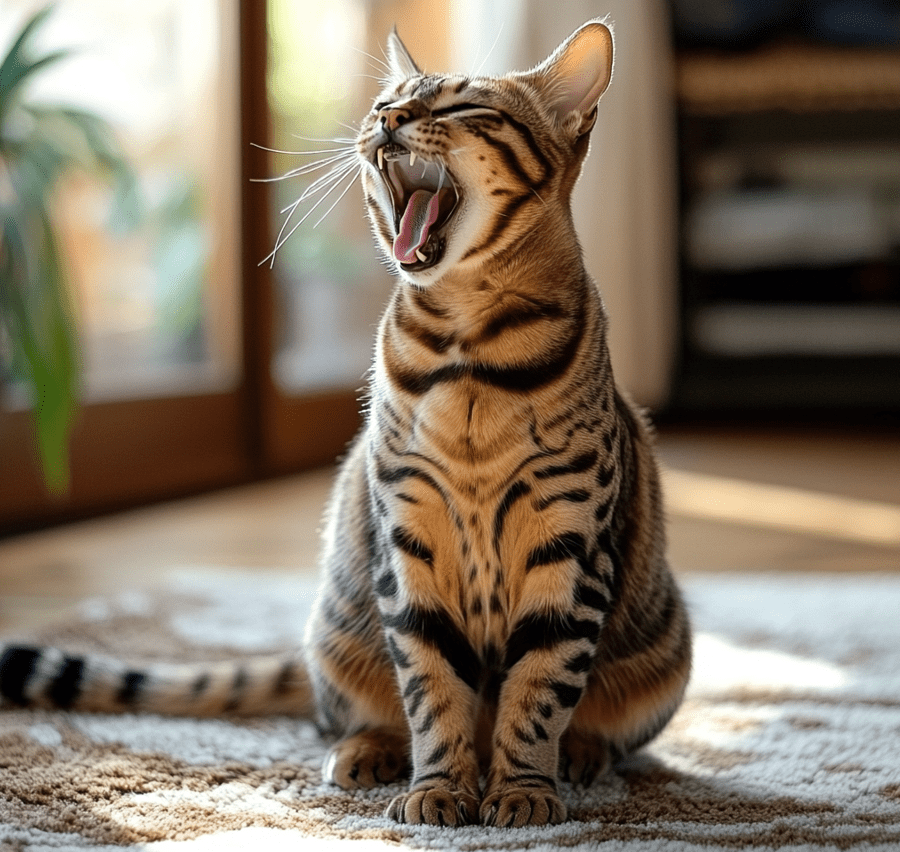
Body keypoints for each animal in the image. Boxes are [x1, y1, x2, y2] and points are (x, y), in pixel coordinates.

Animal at [0, 20, 692, 828]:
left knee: (600, 725)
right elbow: (431, 686)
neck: (467, 352)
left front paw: (521, 790)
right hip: (338, 626)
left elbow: (538, 689)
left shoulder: (569, 543)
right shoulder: (408, 534)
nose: (387, 119)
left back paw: (580, 754)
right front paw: (439, 790)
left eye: (462, 106)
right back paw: (368, 752)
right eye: (386, 100)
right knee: (348, 713)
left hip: (665, 653)